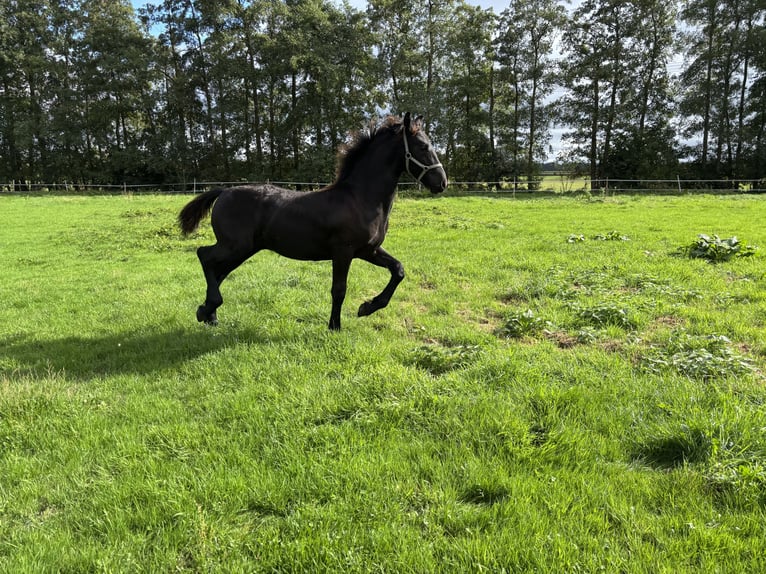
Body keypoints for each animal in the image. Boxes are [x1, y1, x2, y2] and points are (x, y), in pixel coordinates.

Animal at [178, 113, 448, 331]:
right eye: (423, 146)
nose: (442, 182)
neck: (360, 199)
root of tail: (224, 191)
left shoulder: (368, 250)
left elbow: (398, 270)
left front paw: (367, 307)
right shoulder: (343, 252)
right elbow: (339, 290)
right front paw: (335, 326)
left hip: (244, 250)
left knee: (218, 270)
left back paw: (209, 315)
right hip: (235, 246)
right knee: (205, 256)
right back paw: (207, 309)